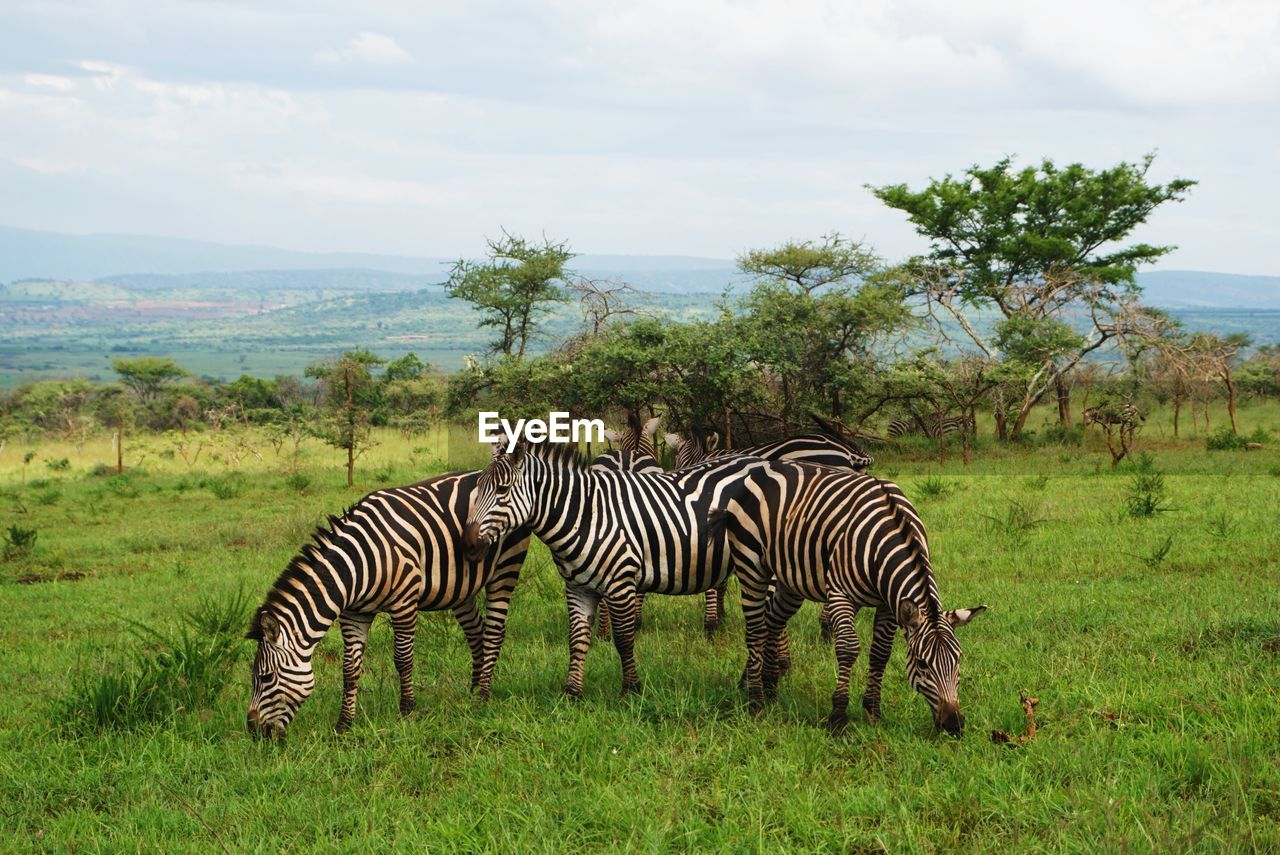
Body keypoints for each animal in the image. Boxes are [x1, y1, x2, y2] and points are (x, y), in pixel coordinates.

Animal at [244, 471, 529, 737]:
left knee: (494, 632)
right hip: (460, 588)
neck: (354, 568)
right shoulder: (354, 614)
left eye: (265, 677)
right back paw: (473, 692)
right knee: (476, 633)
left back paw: (483, 697)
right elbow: (350, 669)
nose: (253, 731)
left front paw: (407, 711)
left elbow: (402, 658)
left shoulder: (404, 600)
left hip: (505, 567)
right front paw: (343, 725)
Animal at [468, 445, 773, 696]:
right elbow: (577, 637)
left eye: (502, 489)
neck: (585, 516)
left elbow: (624, 639)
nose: (470, 545)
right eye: (478, 488)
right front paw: (572, 693)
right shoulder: (577, 587)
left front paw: (631, 689)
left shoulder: (620, 581)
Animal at [716, 460, 983, 737]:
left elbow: (880, 653)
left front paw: (873, 711)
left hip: (791, 579)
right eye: (921, 664)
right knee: (756, 629)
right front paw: (838, 716)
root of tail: (763, 467)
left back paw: (766, 684)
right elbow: (847, 648)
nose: (954, 725)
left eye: (958, 660)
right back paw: (755, 700)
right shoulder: (840, 594)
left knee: (772, 620)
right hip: (751, 565)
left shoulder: (889, 604)